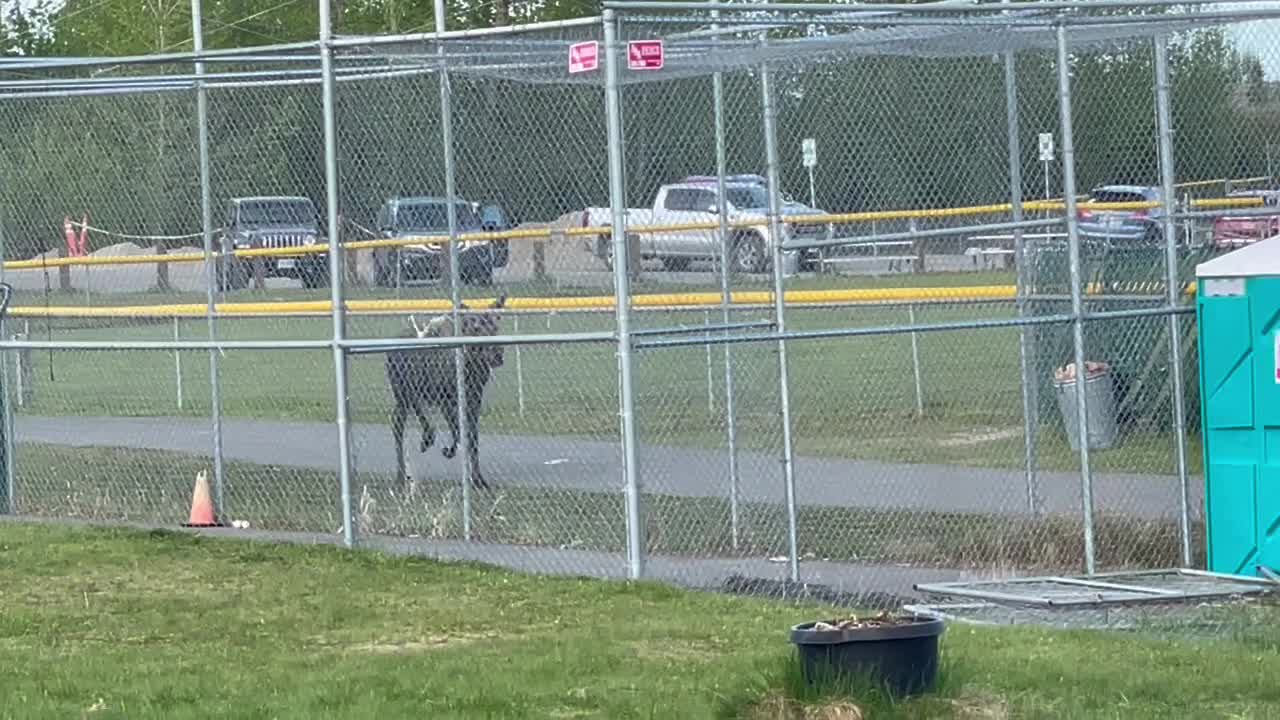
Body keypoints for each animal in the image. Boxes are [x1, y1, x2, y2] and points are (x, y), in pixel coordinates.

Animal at [386, 292, 506, 486]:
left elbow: (472, 436)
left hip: (413, 392)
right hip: (401, 390)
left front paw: (478, 478)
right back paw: (401, 474)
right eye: (476, 328)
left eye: (496, 326)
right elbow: (459, 432)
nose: (497, 354)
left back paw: (426, 439)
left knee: (413, 411)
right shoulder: (446, 398)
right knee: (398, 422)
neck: (471, 366)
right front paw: (449, 451)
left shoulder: (475, 397)